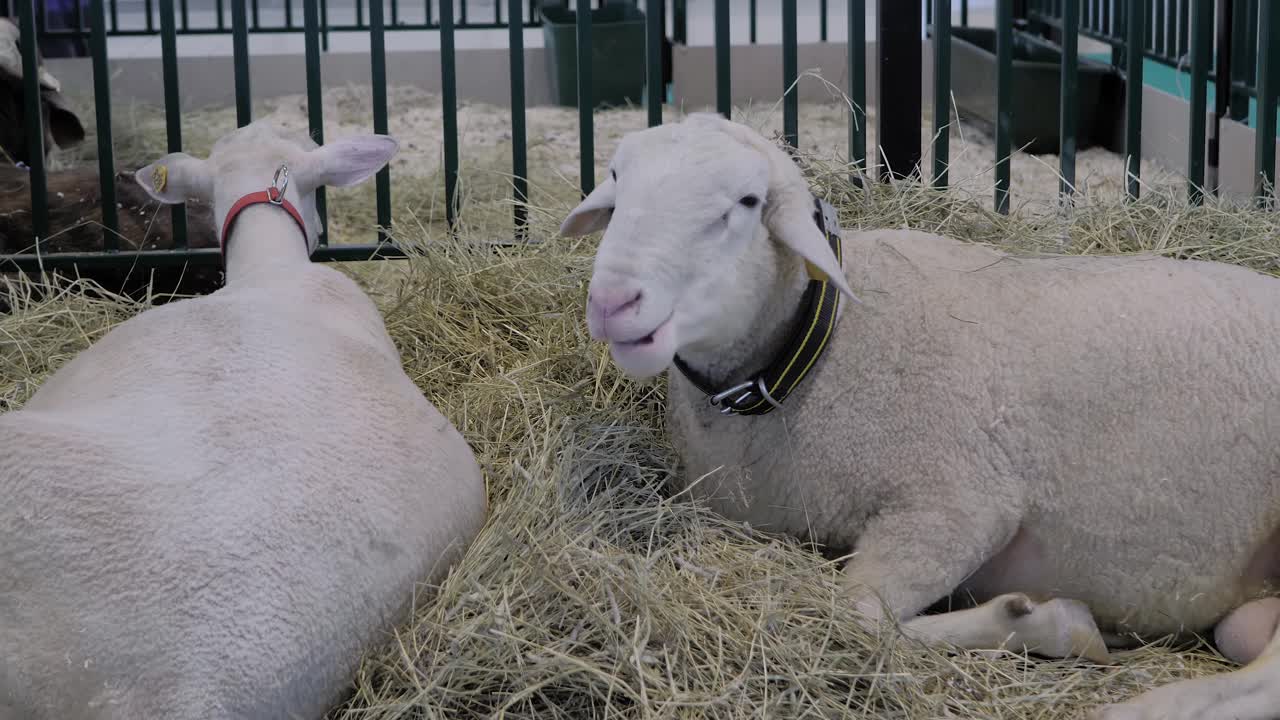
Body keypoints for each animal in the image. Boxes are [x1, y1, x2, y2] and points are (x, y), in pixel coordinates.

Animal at [565, 109, 1280, 712]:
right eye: (616, 183)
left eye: (743, 204)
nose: (612, 301)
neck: (822, 345)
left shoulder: (955, 507)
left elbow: (853, 616)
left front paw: (1054, 622)